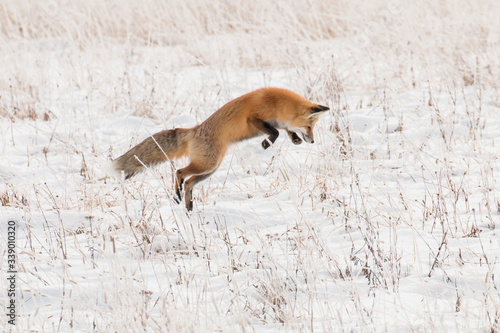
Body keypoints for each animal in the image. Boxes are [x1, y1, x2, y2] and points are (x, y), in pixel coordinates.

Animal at [115, 87, 330, 209]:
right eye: (309, 127)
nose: (312, 141)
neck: (277, 103)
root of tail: (194, 130)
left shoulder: (278, 121)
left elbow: (284, 129)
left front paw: (294, 139)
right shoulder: (253, 119)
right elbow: (274, 132)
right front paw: (266, 143)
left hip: (210, 168)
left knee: (189, 182)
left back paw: (188, 206)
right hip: (207, 164)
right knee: (179, 172)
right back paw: (178, 195)